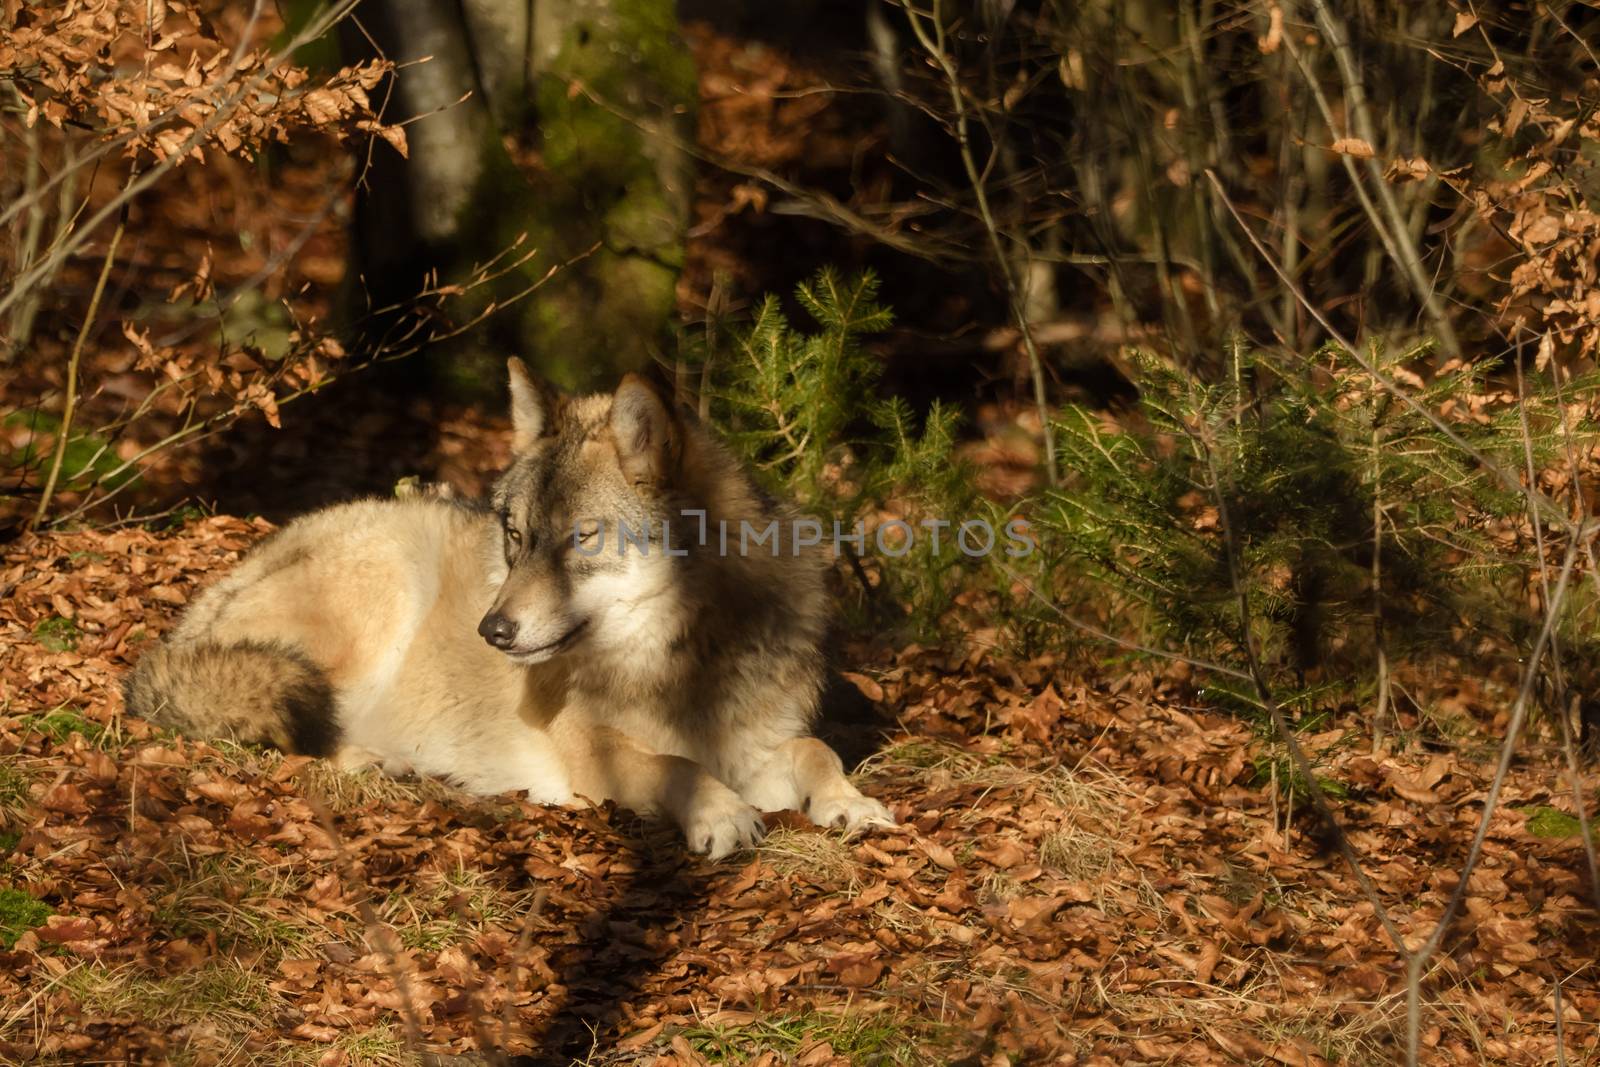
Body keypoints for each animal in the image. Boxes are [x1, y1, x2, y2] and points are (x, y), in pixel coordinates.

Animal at [126, 364, 896, 857]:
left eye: (580, 538)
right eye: (518, 536)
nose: (491, 630)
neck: (683, 659)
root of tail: (189, 620)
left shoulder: (759, 744)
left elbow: (816, 749)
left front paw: (849, 802)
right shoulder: (595, 751)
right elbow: (675, 766)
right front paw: (723, 813)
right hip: (388, 585)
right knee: (291, 731)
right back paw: (378, 761)